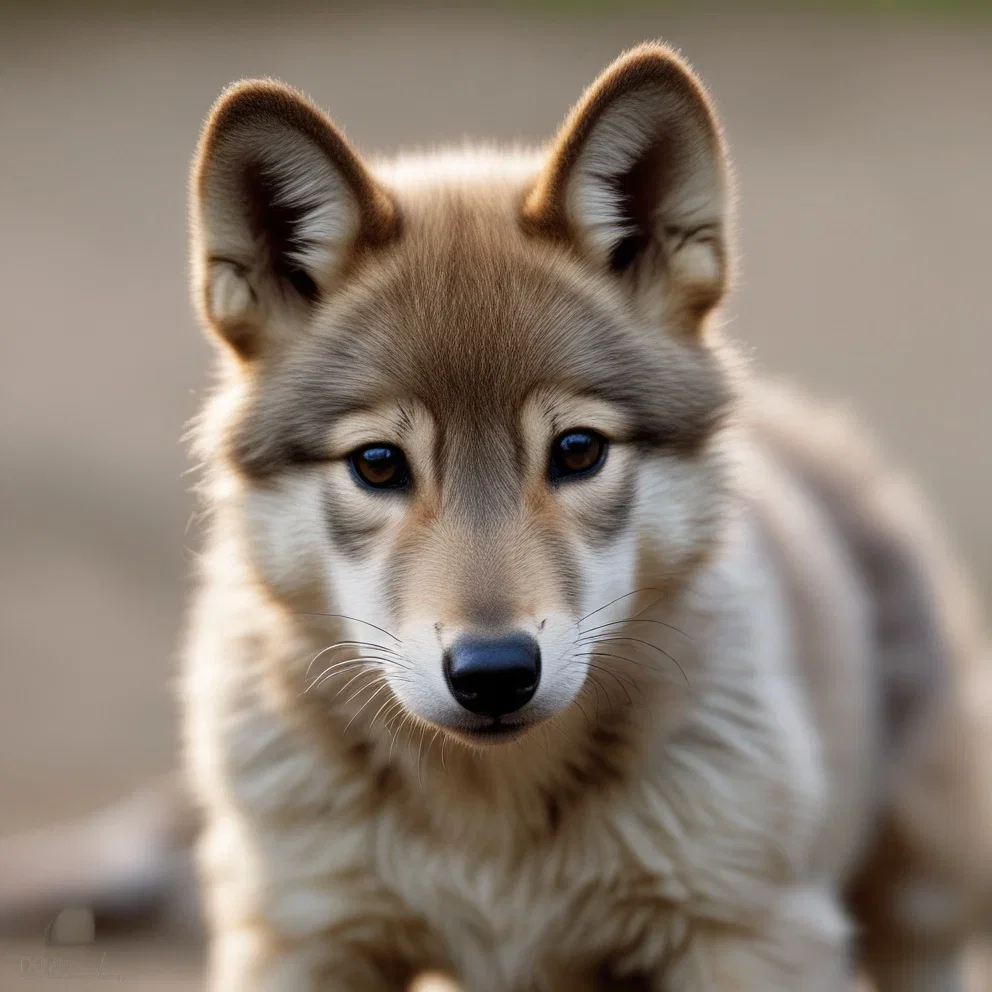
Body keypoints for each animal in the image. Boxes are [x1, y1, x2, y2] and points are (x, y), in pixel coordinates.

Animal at [2, 42, 990, 992]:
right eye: (377, 465)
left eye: (579, 451)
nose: (494, 673)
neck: (492, 815)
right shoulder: (303, 941)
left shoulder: (753, 938)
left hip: (920, 897)